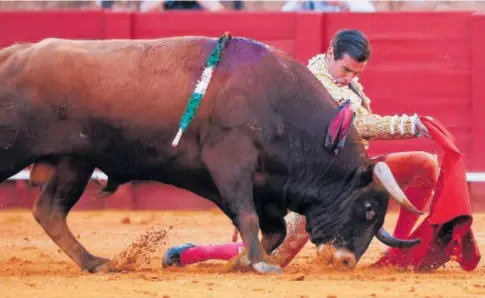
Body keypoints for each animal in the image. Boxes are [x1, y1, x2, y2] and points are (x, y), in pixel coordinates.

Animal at [0, 33, 422, 274]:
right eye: (368, 209)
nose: (347, 261)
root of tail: (12, 55)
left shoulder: (262, 184)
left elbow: (272, 228)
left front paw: (243, 261)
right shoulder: (231, 163)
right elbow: (249, 216)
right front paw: (260, 264)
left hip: (76, 161)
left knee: (49, 211)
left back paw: (95, 264)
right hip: (18, 151)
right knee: (48, 209)